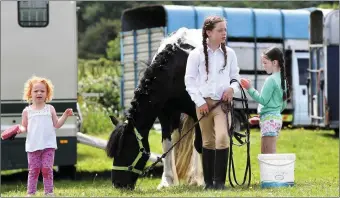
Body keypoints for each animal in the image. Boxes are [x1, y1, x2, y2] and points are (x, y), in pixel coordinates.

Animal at [106, 28, 207, 190]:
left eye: (126, 149)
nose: (118, 184)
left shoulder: (198, 112)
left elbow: (199, 144)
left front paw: (201, 180)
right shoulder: (165, 115)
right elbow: (167, 144)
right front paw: (167, 181)